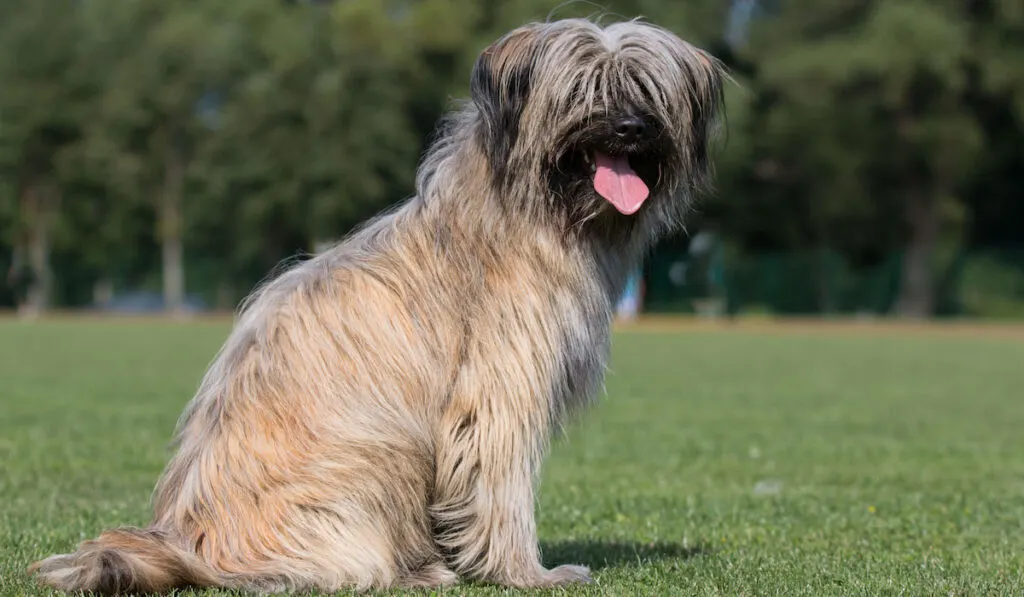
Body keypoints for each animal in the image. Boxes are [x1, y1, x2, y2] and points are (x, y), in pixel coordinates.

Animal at [29, 16, 720, 593]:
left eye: (643, 88)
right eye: (585, 89)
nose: (629, 128)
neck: (528, 211)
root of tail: (186, 544)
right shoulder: (495, 395)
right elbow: (501, 488)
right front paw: (530, 574)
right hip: (375, 460)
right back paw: (417, 572)